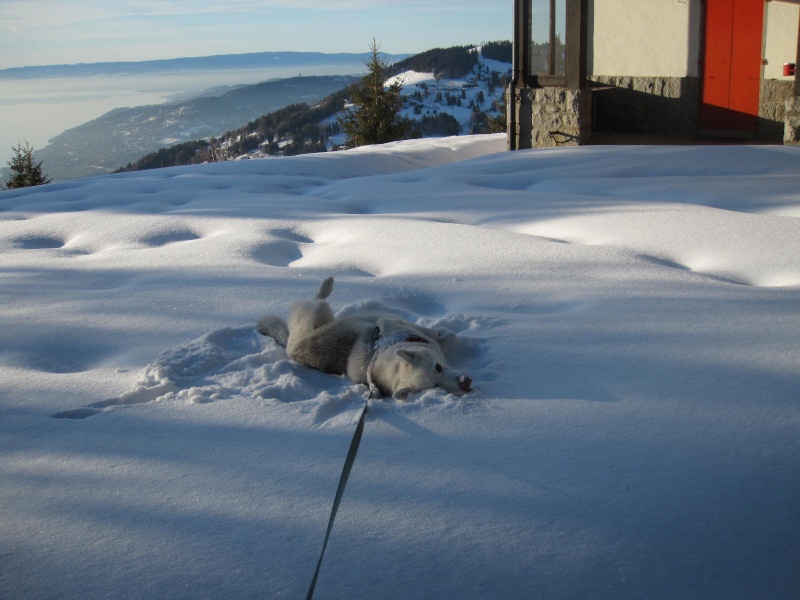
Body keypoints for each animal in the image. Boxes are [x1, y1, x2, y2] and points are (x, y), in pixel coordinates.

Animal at [256, 276, 472, 398]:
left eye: (438, 367)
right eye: (435, 385)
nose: (465, 382)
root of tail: (291, 346)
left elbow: (442, 335)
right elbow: (448, 335)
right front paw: (447, 333)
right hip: (317, 312)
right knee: (317, 299)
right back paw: (327, 284)